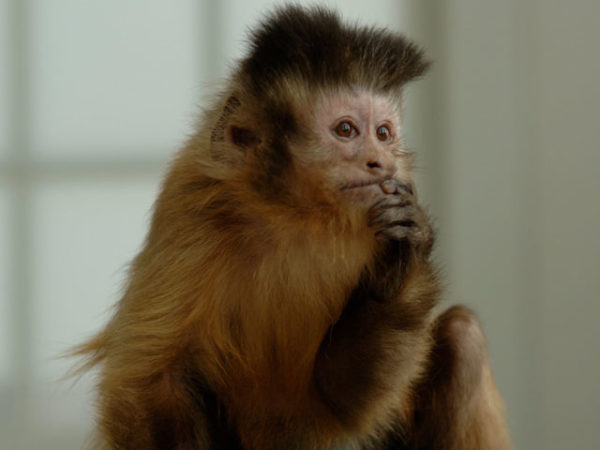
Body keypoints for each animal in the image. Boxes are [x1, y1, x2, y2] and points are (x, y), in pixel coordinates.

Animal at [74, 4, 510, 450]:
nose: (381, 163)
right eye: (346, 130)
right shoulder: (190, 208)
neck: (290, 215)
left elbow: (339, 399)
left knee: (463, 333)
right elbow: (149, 380)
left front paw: (401, 264)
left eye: (384, 133)